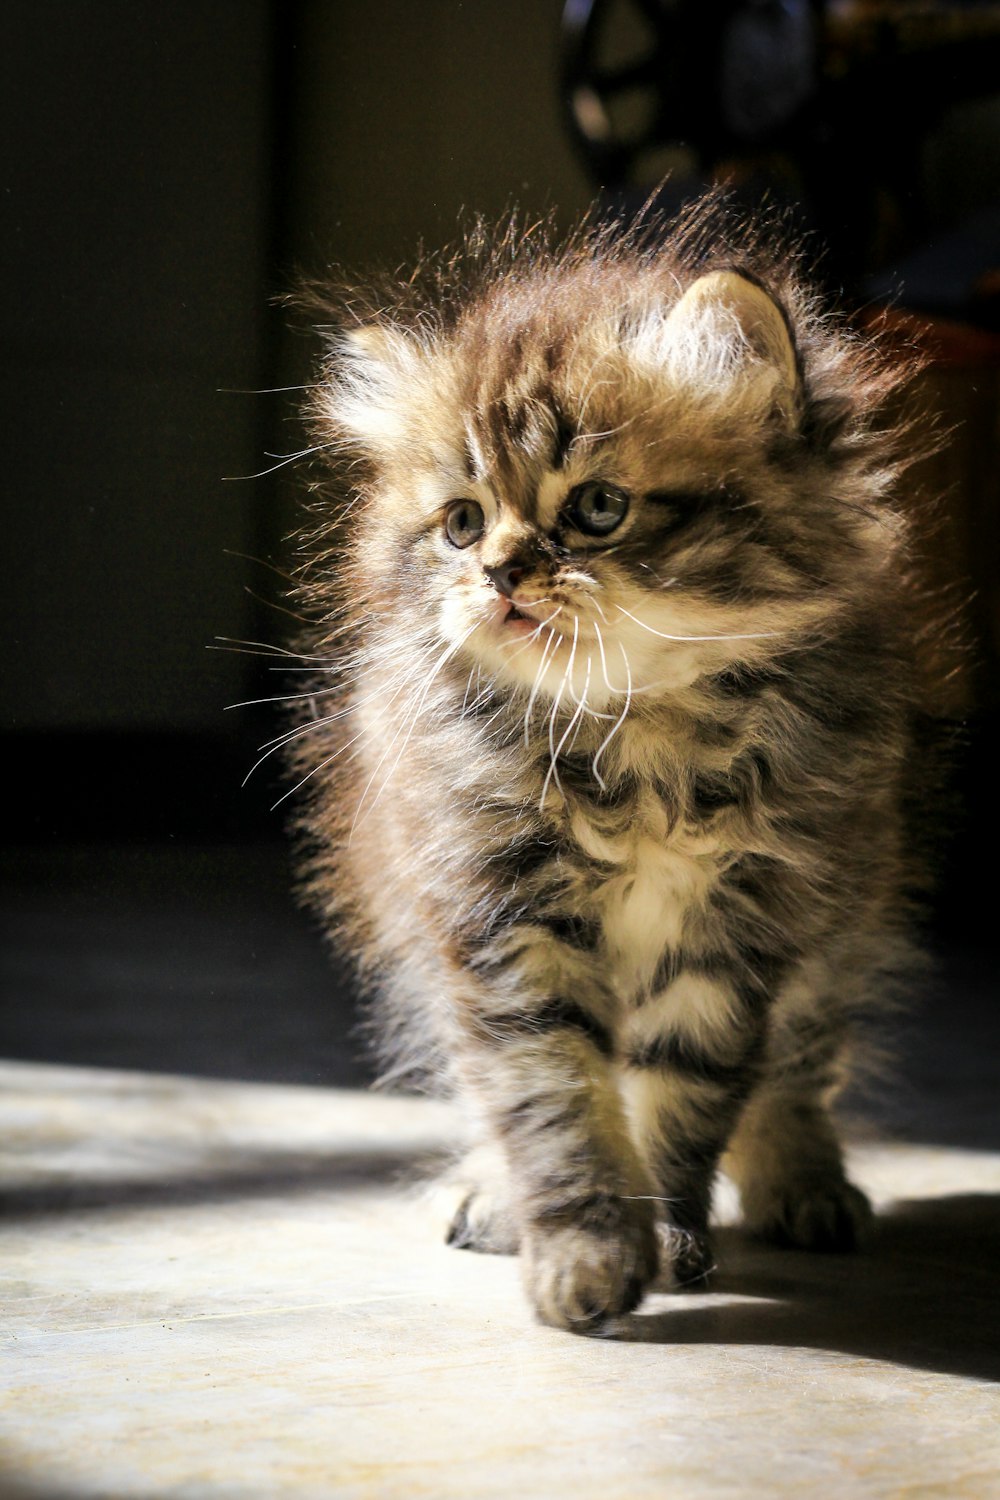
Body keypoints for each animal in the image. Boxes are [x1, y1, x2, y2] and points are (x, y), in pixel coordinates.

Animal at [287, 202, 929, 1338]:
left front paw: (666, 1237)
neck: (639, 739)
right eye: (462, 523)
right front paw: (581, 1257)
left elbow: (679, 1093)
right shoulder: (500, 919)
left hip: (843, 918)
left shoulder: (741, 922)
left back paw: (805, 1184)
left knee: (800, 1068)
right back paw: (490, 1198)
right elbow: (556, 1100)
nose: (501, 572)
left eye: (596, 509)